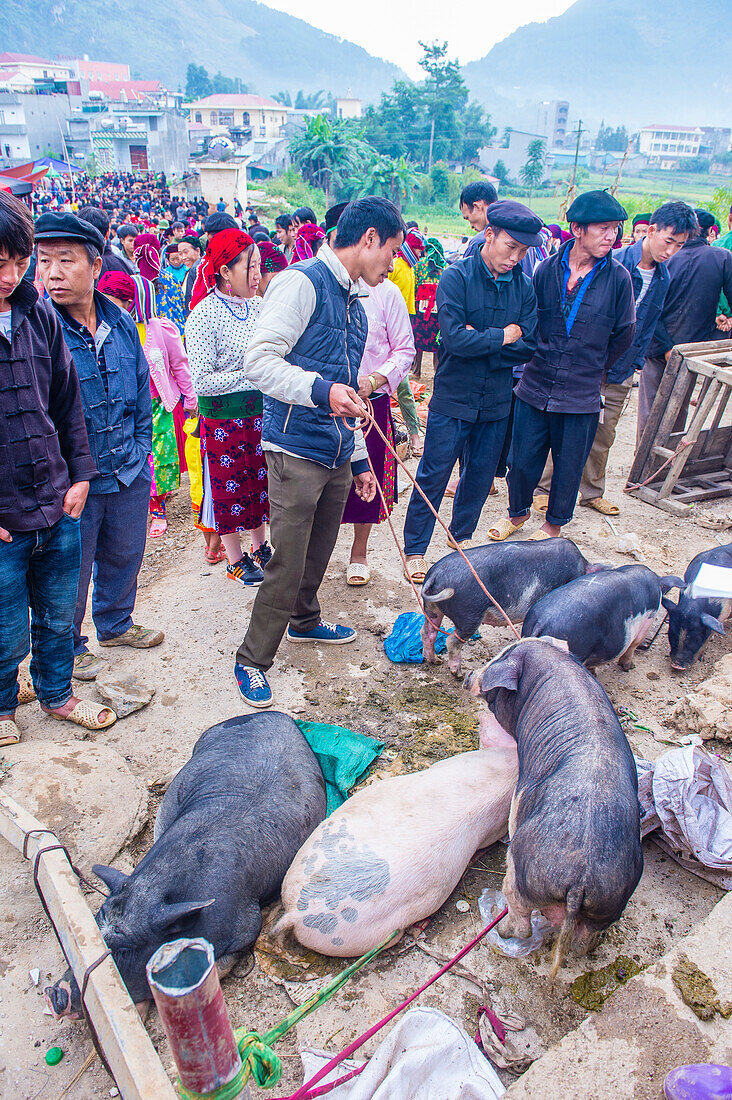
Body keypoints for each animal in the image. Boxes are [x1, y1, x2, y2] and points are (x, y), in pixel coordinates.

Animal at [45, 712, 325, 1012]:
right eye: (97, 926)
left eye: (126, 948)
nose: (56, 994)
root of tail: (274, 714)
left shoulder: (247, 927)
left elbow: (220, 966)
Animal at [420, 536, 598, 673]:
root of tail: (434, 575)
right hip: (469, 614)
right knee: (452, 641)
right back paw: (458, 674)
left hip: (432, 608)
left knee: (428, 632)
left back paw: (435, 661)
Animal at [464, 642, 642, 976]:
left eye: (500, 657)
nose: (469, 675)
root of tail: (581, 879)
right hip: (610, 903)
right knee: (584, 942)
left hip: (521, 872)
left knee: (521, 917)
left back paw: (502, 930)